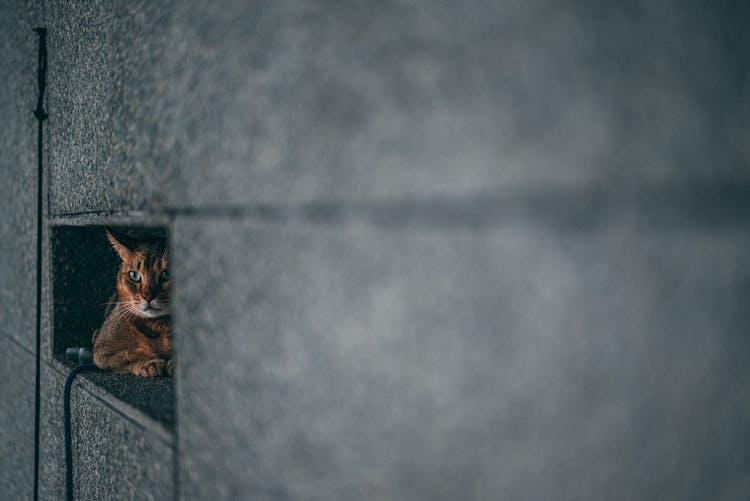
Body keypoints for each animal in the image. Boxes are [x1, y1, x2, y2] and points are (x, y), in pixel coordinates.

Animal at [92, 229, 173, 376]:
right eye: (134, 275)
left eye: (167, 273)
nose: (148, 297)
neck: (158, 325)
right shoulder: (101, 350)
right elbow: (129, 354)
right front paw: (150, 363)